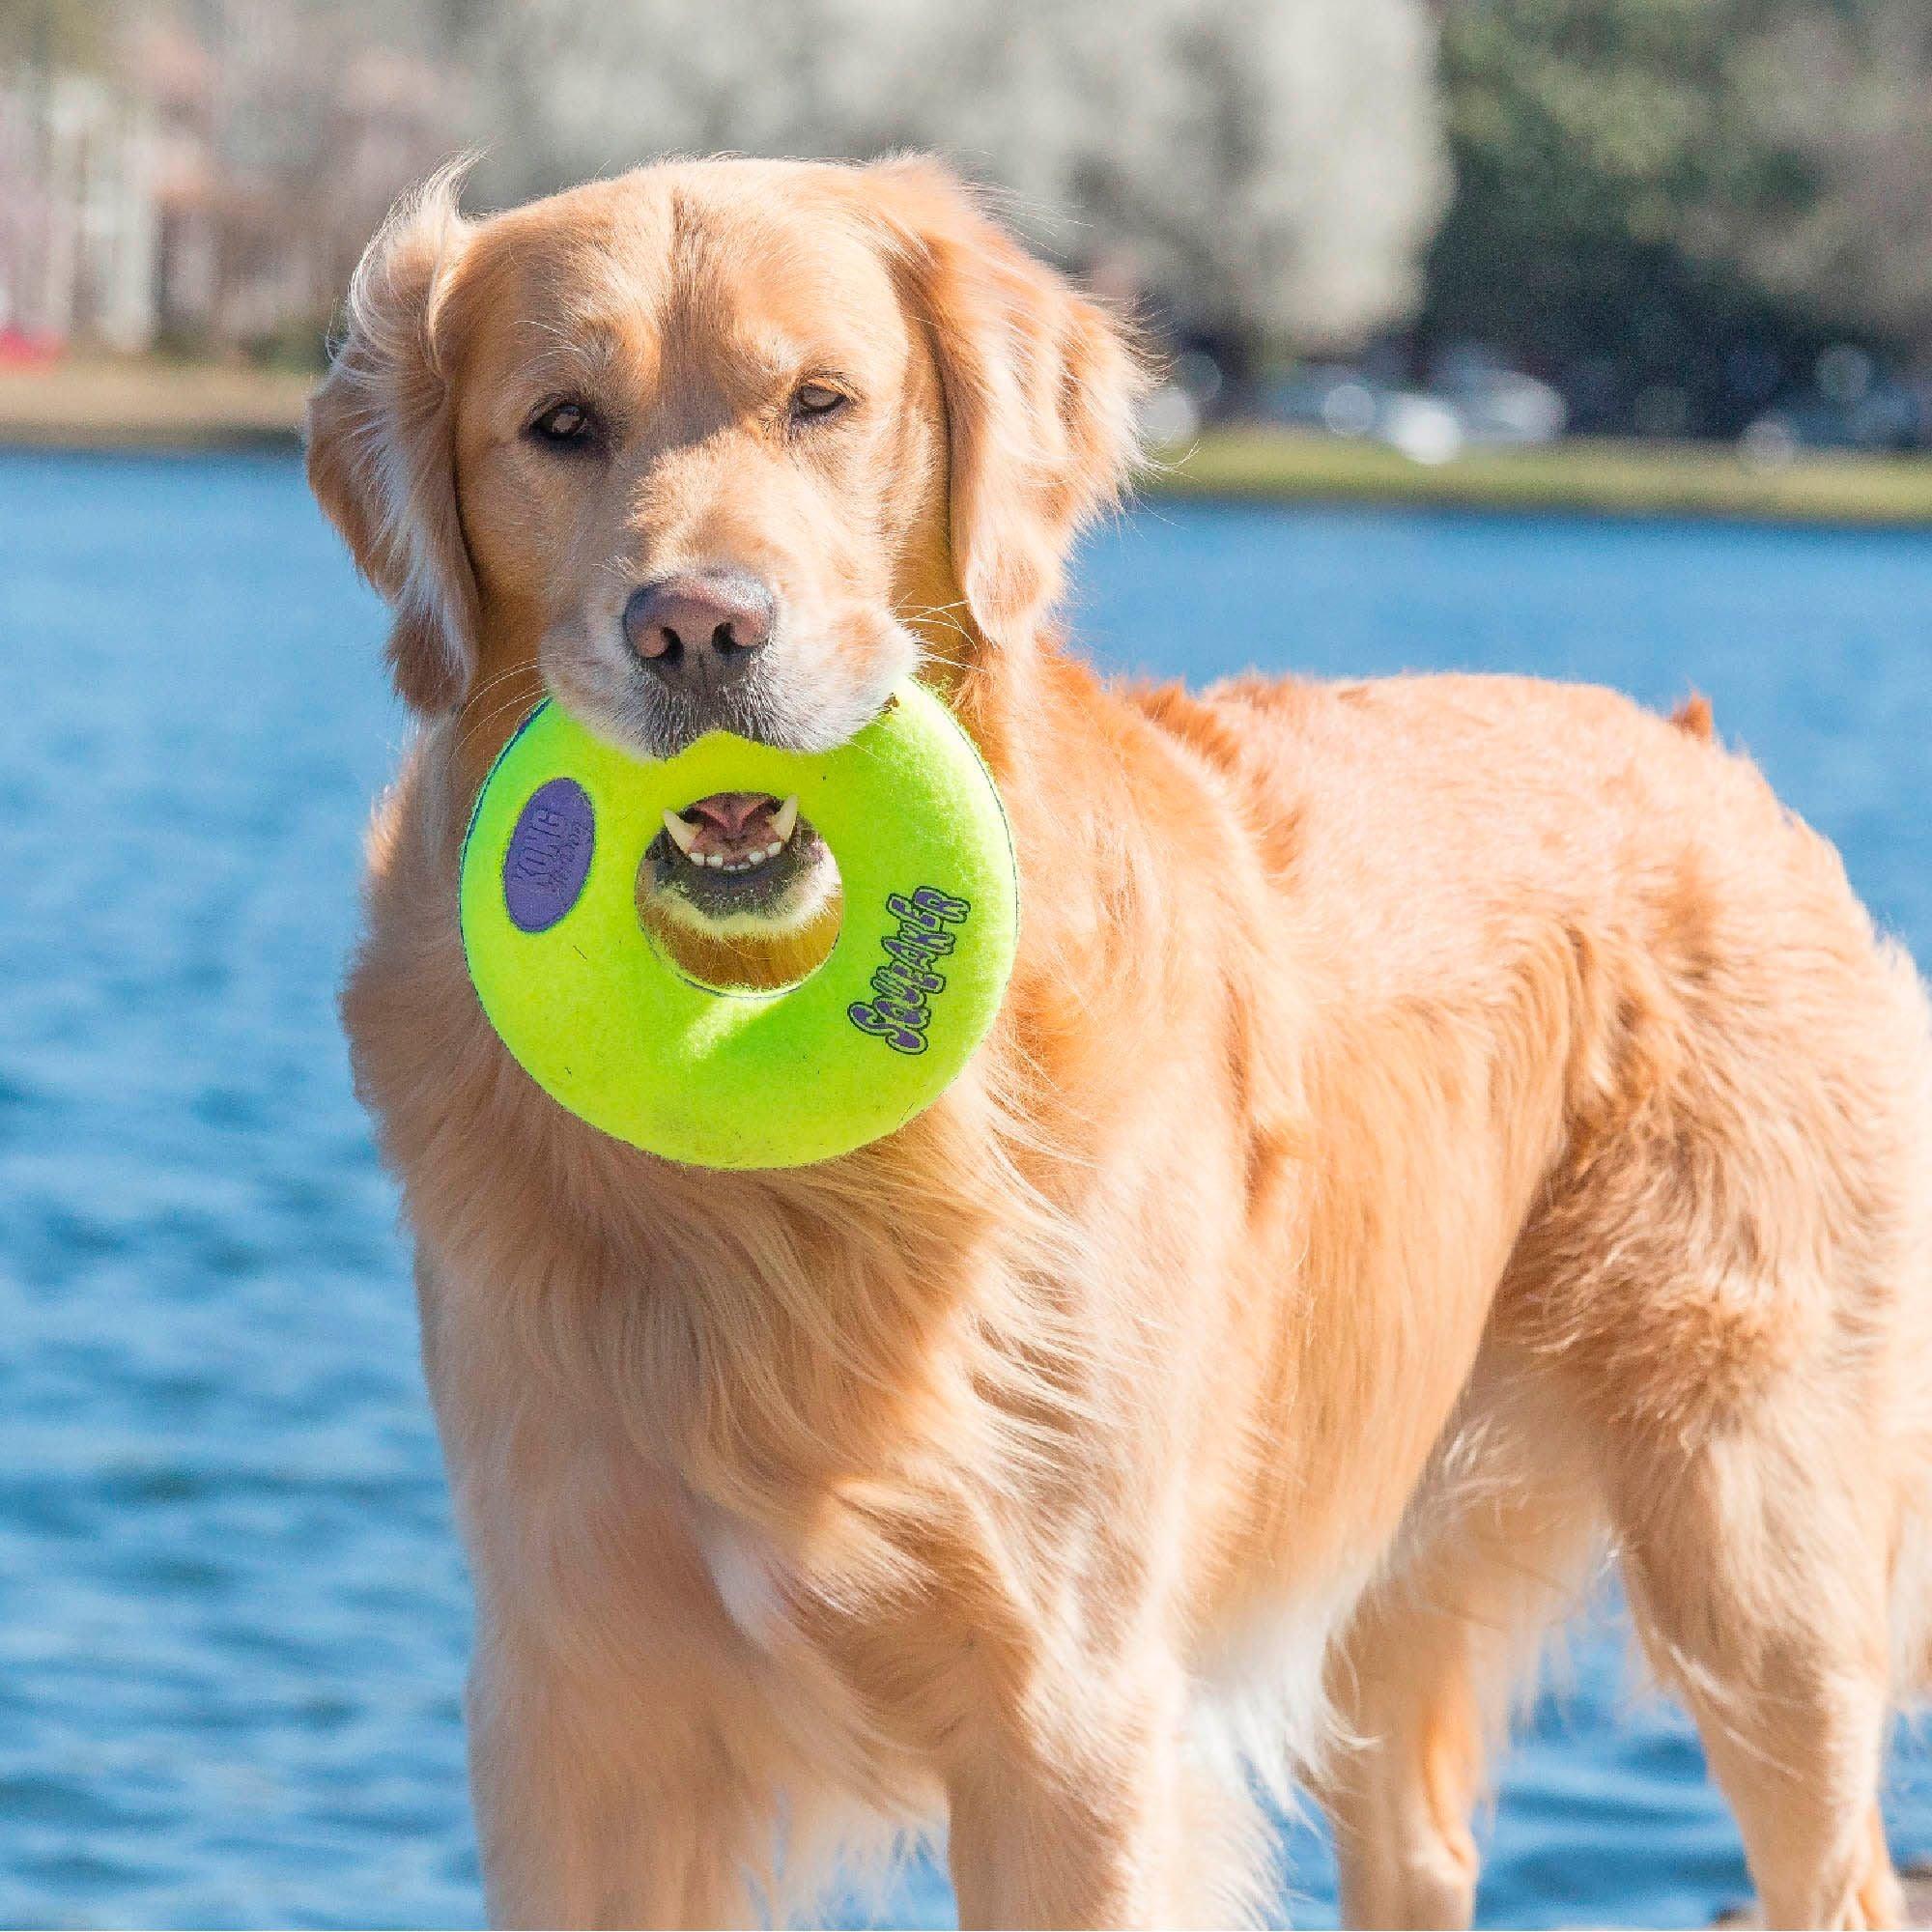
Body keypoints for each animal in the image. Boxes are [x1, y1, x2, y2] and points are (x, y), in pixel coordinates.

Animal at [301, 158, 1932, 1924]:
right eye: (561, 425)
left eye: (823, 401)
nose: (695, 629)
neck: (803, 1177)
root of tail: (1714, 762)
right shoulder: (580, 1710)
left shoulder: (1069, 1715)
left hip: (1758, 1545)